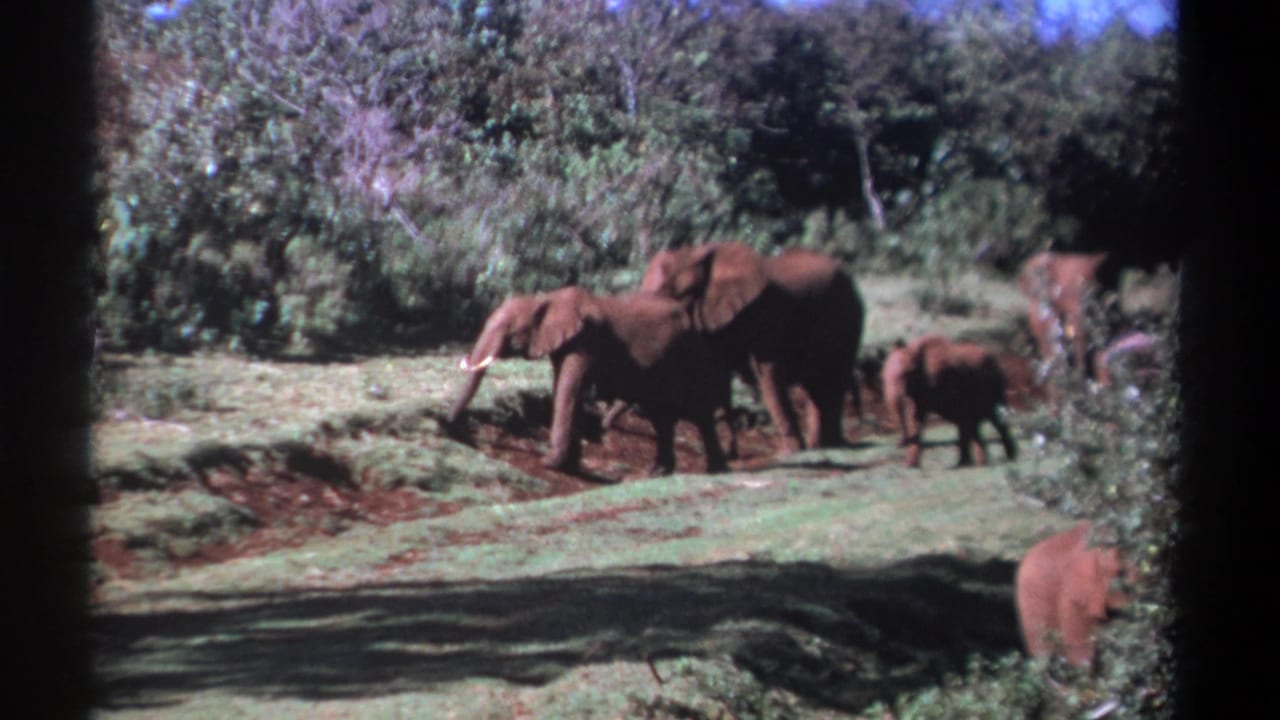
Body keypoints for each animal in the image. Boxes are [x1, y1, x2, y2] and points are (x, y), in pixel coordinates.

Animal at [446, 286, 729, 476]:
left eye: (511, 332)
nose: (449, 426)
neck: (547, 299)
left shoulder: (586, 340)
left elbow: (568, 390)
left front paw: (550, 463)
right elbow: (565, 388)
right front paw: (570, 464)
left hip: (688, 350)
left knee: (697, 410)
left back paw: (716, 471)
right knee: (661, 416)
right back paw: (659, 472)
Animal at [637, 242, 865, 456]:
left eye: (683, 292)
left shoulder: (765, 313)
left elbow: (768, 375)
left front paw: (788, 452)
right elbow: (718, 376)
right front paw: (730, 453)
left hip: (848, 316)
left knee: (833, 379)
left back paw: (830, 444)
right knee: (815, 385)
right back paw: (820, 446)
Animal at [881, 334, 1017, 468]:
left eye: (906, 374)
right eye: (883, 378)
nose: (899, 444)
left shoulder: (945, 380)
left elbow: (962, 416)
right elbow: (916, 418)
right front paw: (910, 465)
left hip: (992, 386)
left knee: (991, 417)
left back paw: (1008, 457)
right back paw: (980, 462)